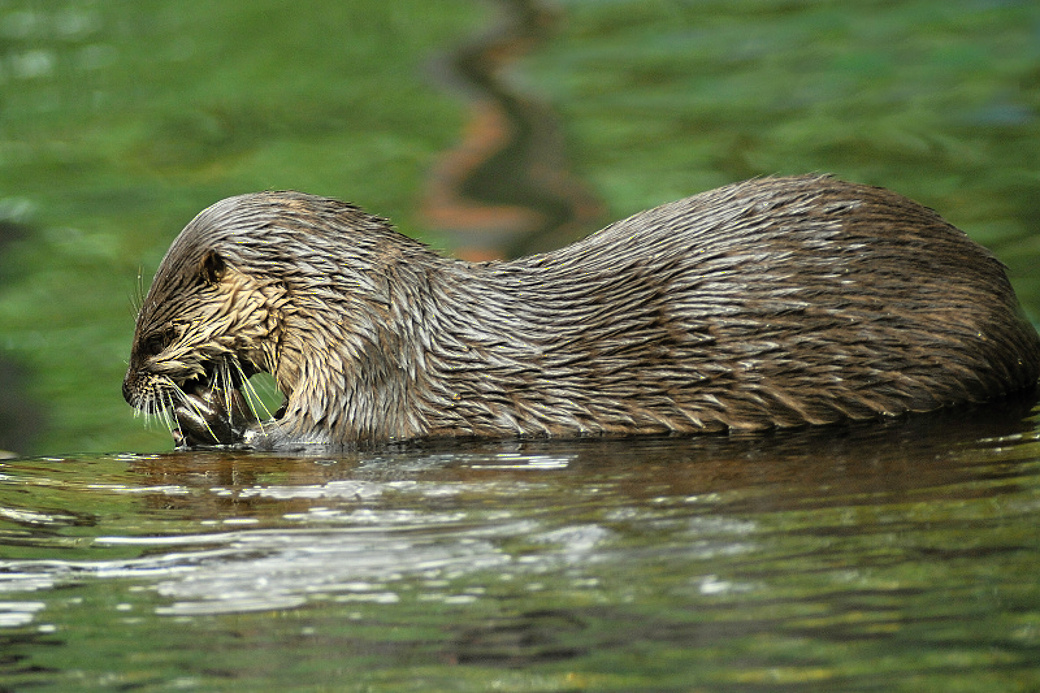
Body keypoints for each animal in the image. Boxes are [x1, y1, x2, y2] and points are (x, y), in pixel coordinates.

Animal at [123, 175, 1040, 451]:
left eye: (157, 337)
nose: (127, 388)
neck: (361, 308)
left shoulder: (368, 374)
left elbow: (313, 438)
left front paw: (211, 420)